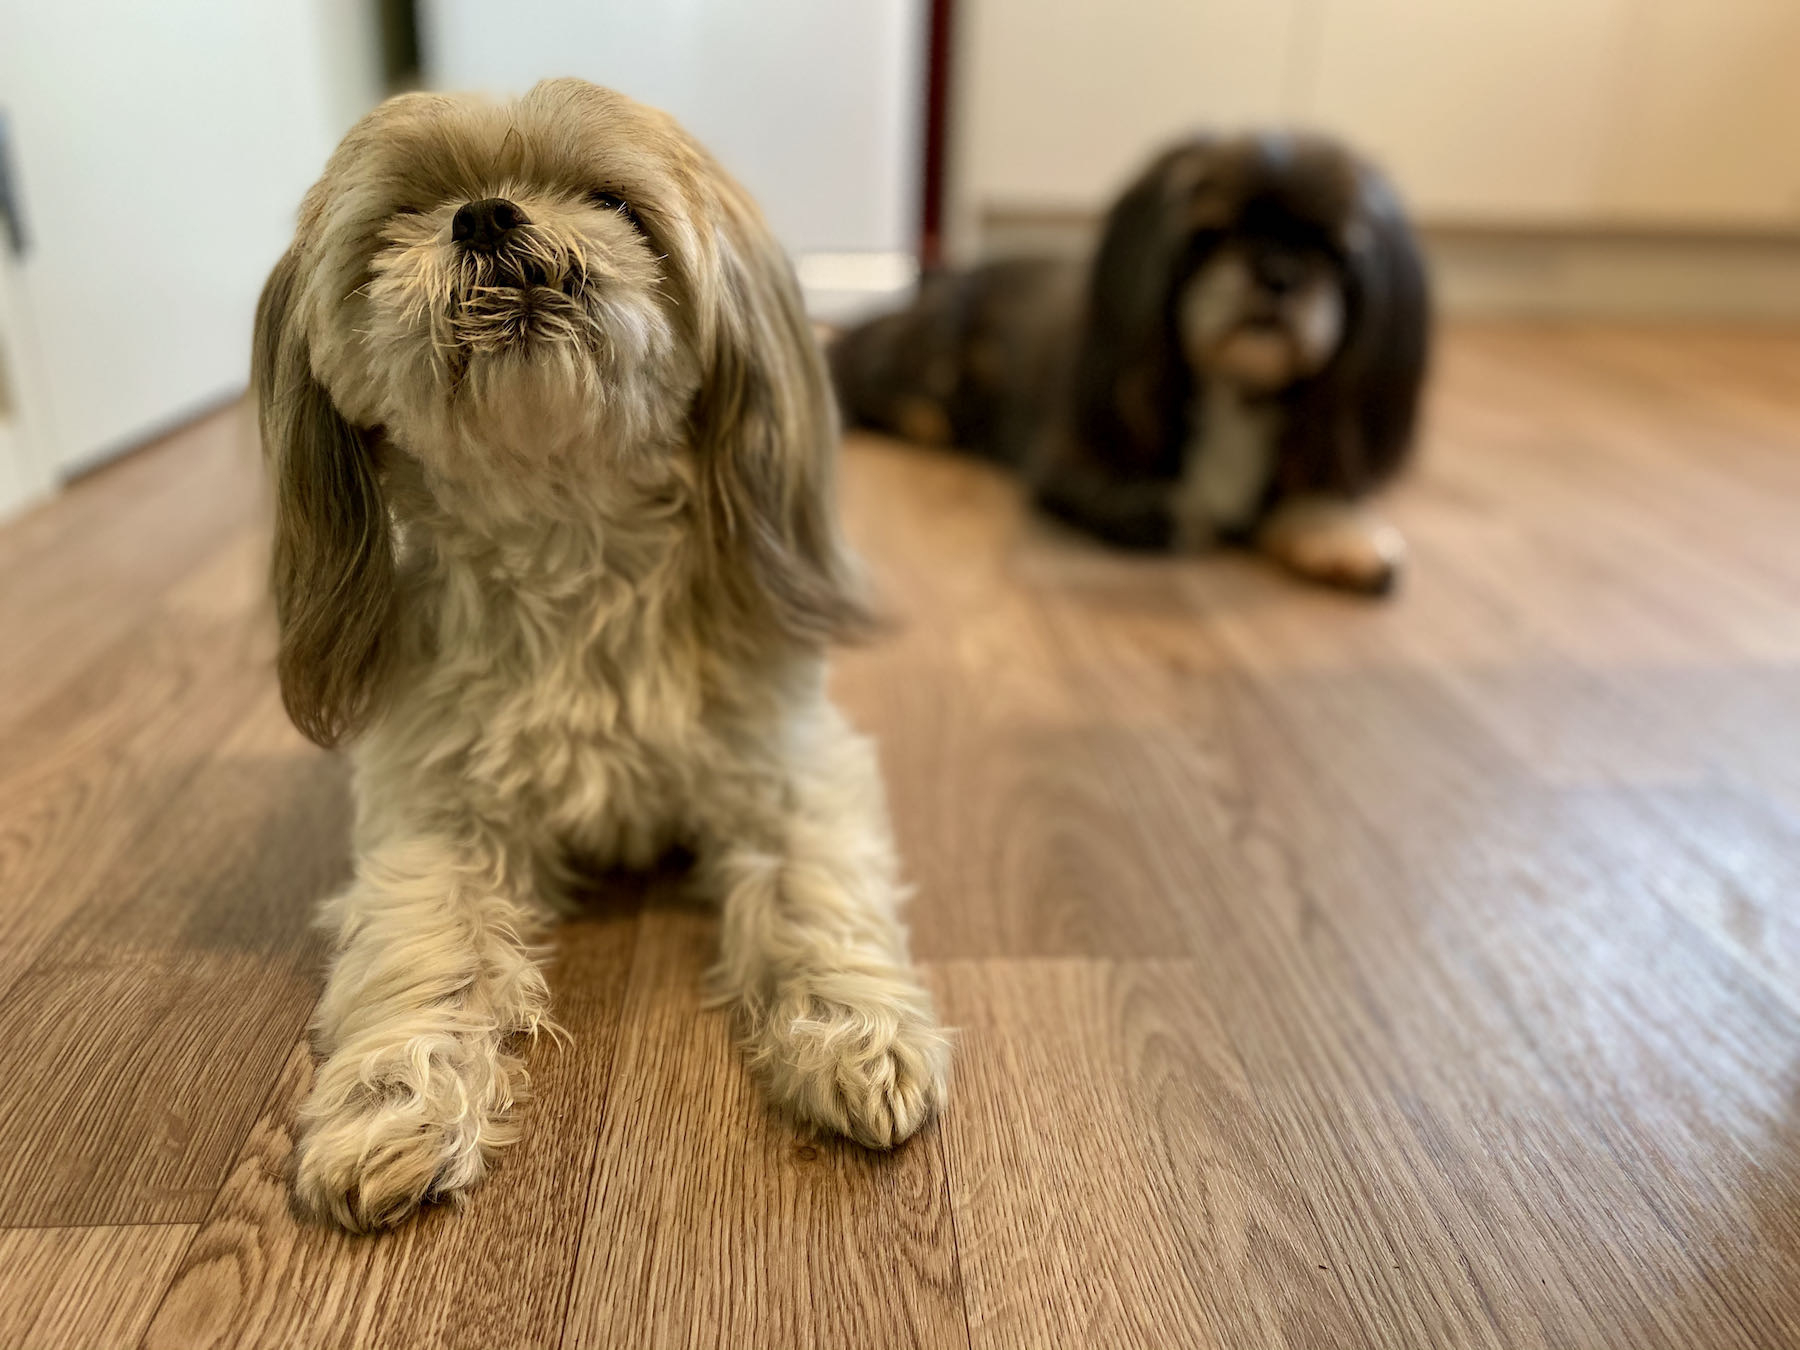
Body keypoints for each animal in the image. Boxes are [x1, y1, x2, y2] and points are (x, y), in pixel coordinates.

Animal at [262, 79, 957, 1231]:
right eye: (407, 213)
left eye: (611, 202)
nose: (485, 215)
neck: (572, 544)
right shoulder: (436, 813)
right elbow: (428, 949)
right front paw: (395, 1105)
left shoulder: (786, 766)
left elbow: (818, 897)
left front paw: (857, 1035)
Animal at [831, 135, 1432, 594]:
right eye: (1211, 233)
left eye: (1334, 251)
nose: (1278, 271)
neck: (1234, 391)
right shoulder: (1069, 464)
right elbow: (1168, 505)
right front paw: (1181, 510)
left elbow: (1314, 491)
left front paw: (1340, 533)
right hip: (935, 359)